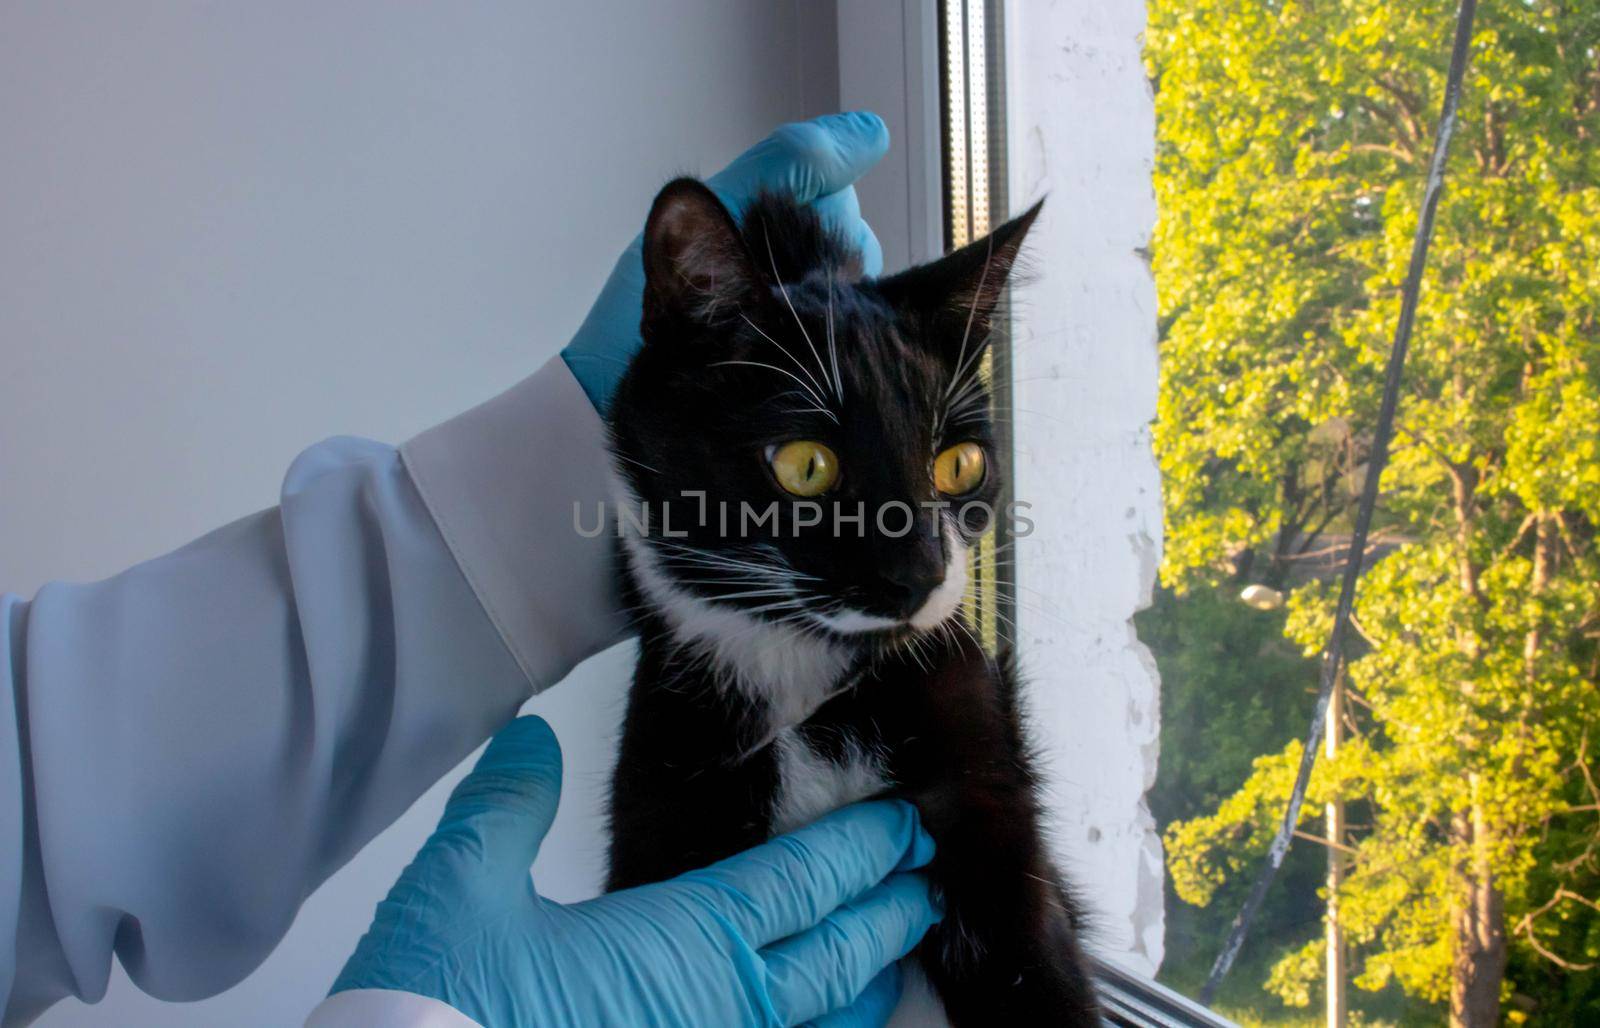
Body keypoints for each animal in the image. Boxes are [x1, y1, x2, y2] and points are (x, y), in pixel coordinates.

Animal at [601, 180, 1100, 1018]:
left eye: (959, 464)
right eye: (806, 466)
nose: (921, 571)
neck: (812, 693)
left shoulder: (985, 774)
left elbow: (1035, 963)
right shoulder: (669, 788)